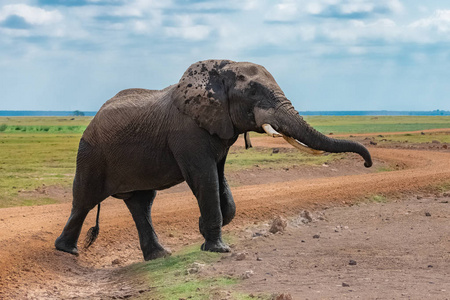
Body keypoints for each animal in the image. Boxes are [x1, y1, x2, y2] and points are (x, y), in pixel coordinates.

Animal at [55, 59, 372, 260]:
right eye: (253, 92)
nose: (368, 164)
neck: (220, 69)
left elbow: (220, 180)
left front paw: (204, 230)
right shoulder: (188, 133)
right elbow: (204, 179)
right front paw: (218, 249)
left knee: (142, 203)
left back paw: (159, 256)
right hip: (91, 154)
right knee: (84, 201)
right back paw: (66, 251)